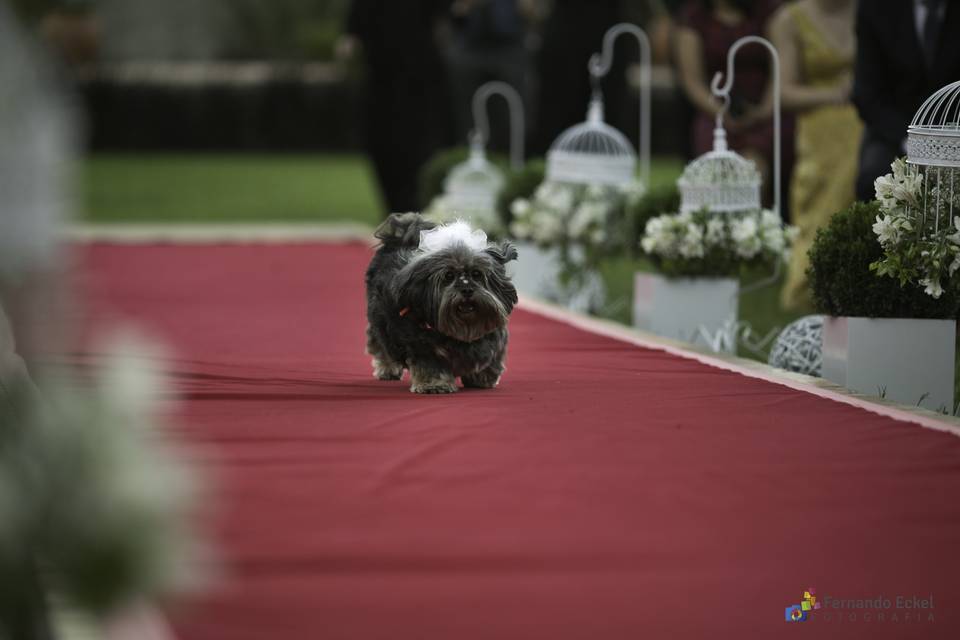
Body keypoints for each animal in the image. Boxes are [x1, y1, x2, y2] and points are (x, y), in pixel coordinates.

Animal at [366, 214, 516, 396]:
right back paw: (388, 369)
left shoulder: (495, 340)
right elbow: (431, 366)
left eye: (476, 274)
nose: (466, 289)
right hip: (380, 322)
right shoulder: (422, 346)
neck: (462, 330)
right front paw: (434, 385)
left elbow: (489, 359)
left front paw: (482, 378)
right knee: (381, 345)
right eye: (449, 276)